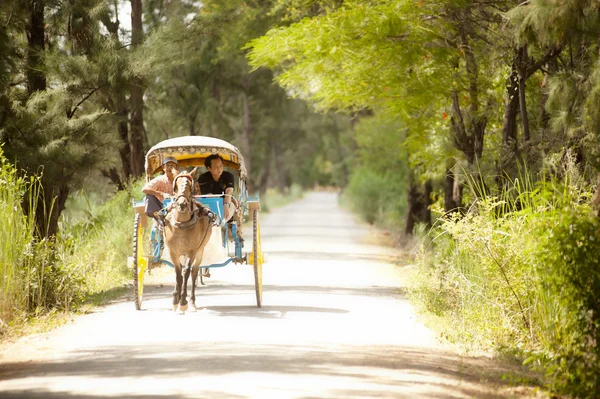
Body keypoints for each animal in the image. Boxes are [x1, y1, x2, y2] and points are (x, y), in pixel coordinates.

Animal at [164, 173, 213, 314]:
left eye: (190, 187)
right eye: (175, 187)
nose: (182, 204)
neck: (181, 225)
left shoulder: (192, 251)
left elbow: (186, 273)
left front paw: (183, 302)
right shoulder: (173, 252)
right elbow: (178, 273)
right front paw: (176, 300)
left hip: (200, 251)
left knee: (194, 272)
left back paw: (191, 301)